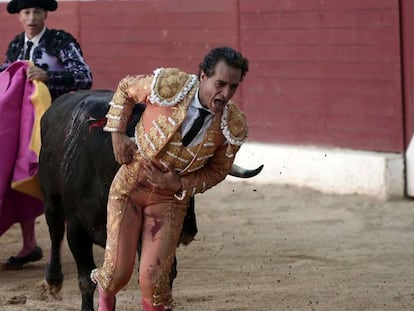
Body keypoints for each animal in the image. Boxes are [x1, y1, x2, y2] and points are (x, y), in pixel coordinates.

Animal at [38, 89, 262, 310]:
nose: (187, 231)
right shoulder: (77, 229)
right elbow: (86, 279)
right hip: (51, 201)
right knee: (55, 231)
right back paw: (53, 281)